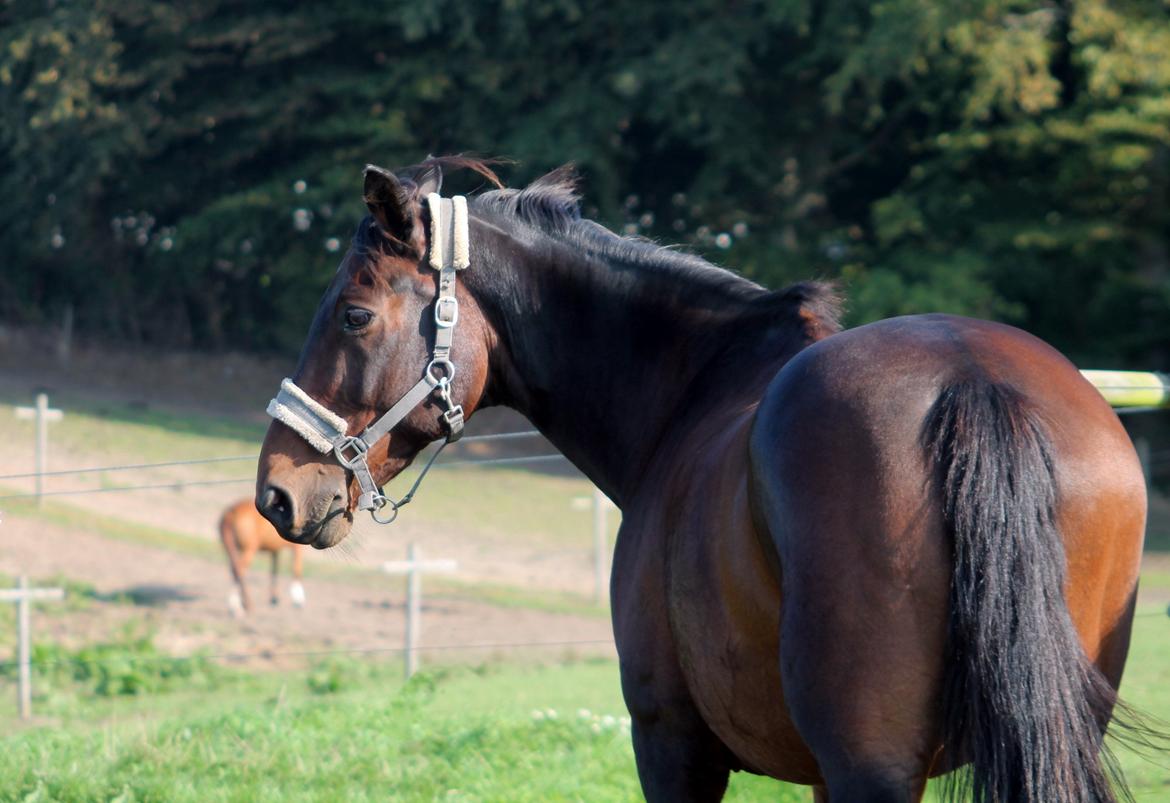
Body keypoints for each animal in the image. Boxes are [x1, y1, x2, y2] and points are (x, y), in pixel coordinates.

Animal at [253, 159, 1141, 803]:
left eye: (354, 314)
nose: (276, 491)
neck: (695, 389)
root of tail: (969, 377)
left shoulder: (670, 738)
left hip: (871, 764)